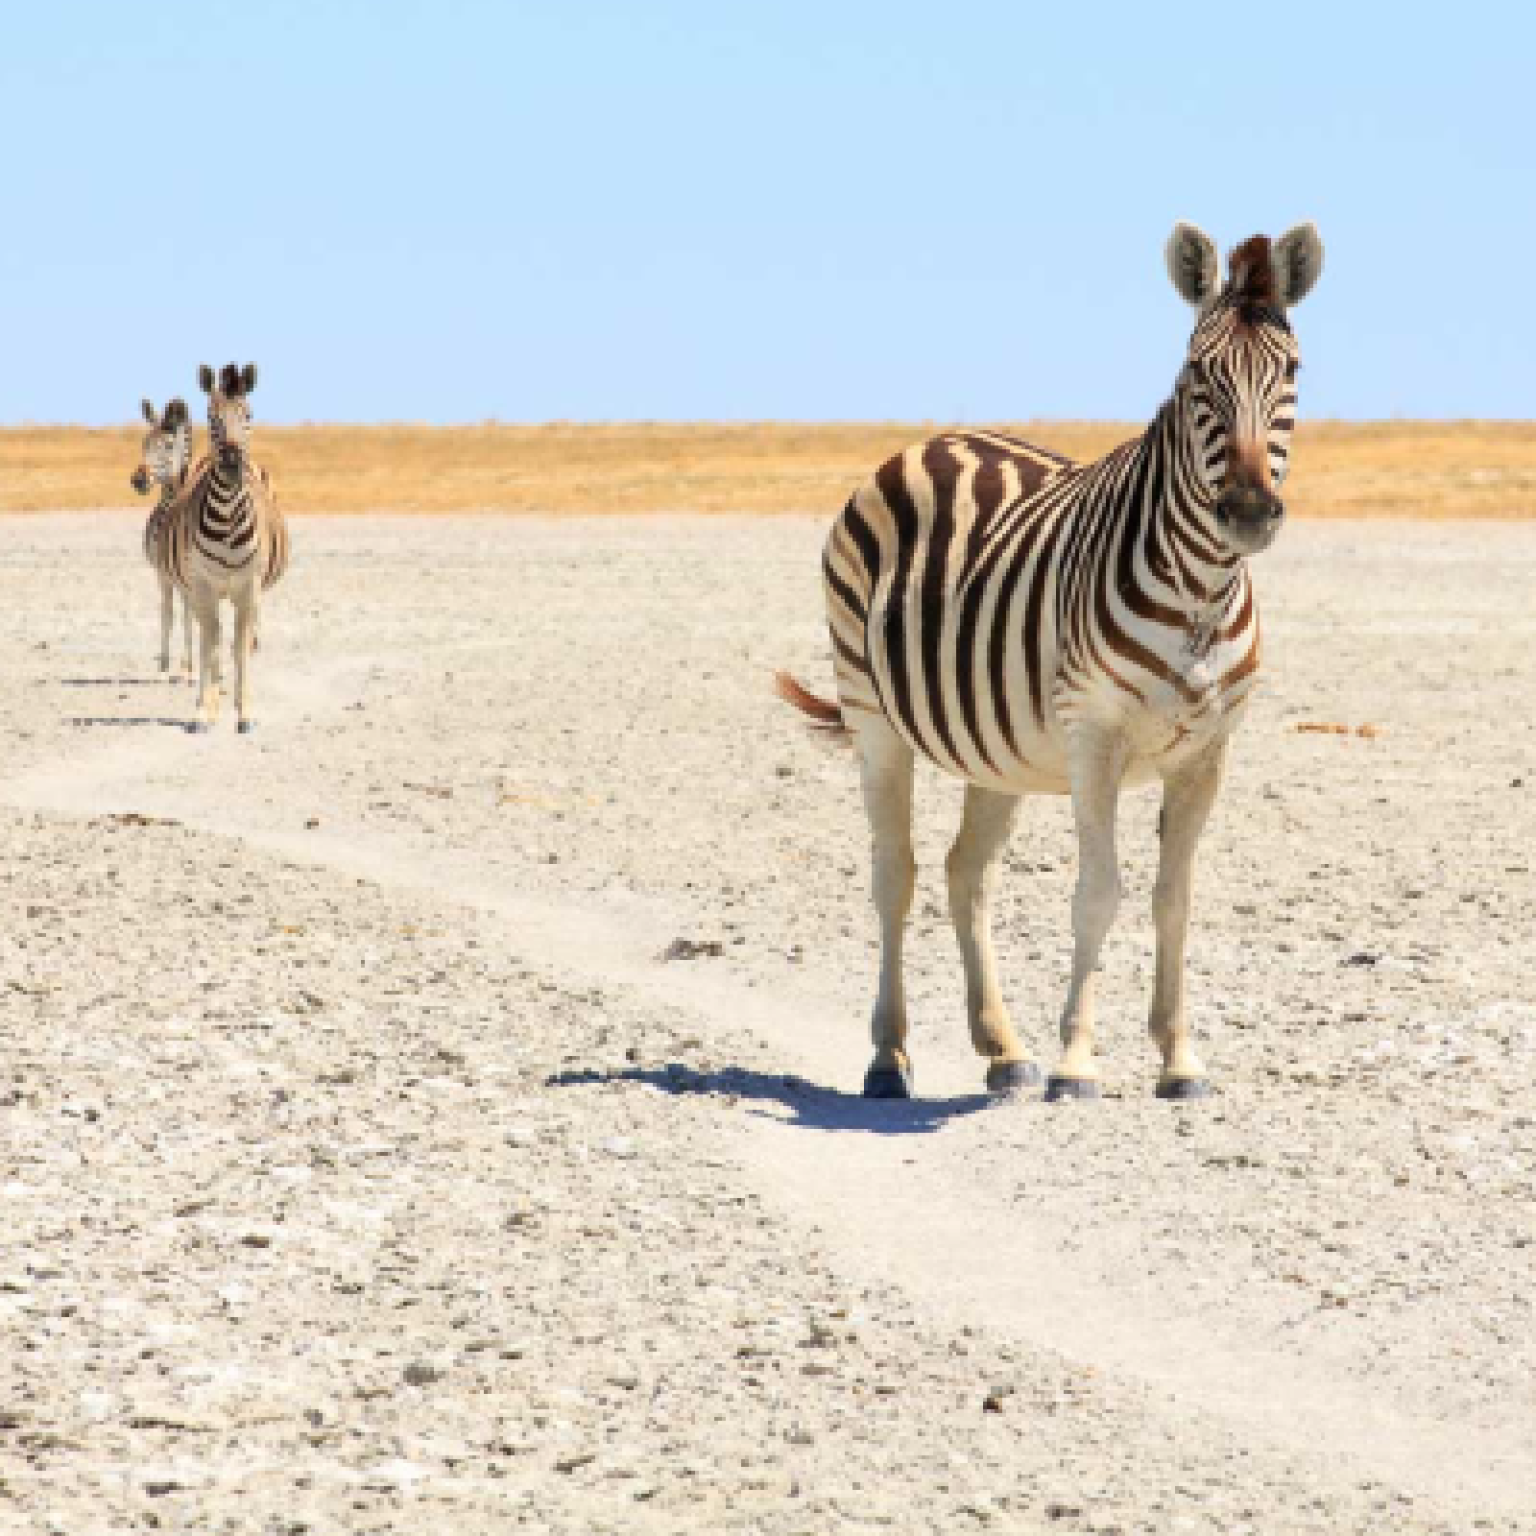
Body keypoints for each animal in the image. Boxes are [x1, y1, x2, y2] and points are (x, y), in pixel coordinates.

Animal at [163, 365, 288, 737]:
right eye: (211, 417)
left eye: (249, 415)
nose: (233, 463)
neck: (229, 520)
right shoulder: (203, 587)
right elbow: (211, 645)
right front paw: (203, 713)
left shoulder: (248, 589)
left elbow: (240, 648)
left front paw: (245, 713)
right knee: (210, 637)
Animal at [774, 219, 1327, 1105]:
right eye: (1196, 375)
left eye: (1292, 372)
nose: (1247, 512)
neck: (1202, 592)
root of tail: (935, 439)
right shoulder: (1093, 736)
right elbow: (1099, 892)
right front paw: (1078, 1063)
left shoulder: (1209, 752)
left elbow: (1174, 900)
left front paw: (1179, 1060)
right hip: (872, 717)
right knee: (896, 875)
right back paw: (889, 1058)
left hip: (992, 747)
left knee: (966, 873)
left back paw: (1003, 1049)